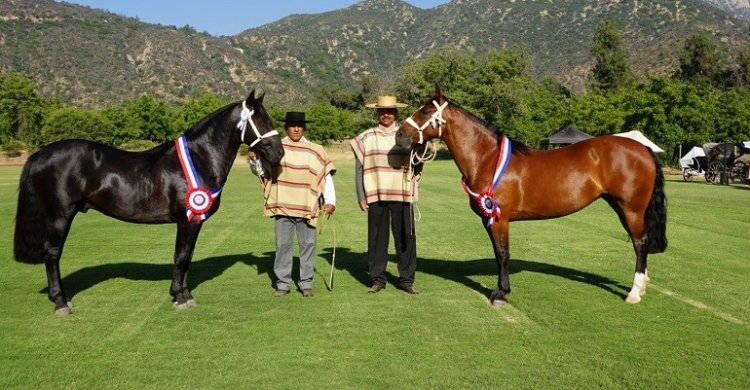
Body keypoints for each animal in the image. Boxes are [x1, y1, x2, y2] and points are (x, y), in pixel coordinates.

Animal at [14, 89, 284, 314]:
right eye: (259, 120)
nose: (279, 152)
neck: (199, 159)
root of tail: (40, 154)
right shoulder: (186, 221)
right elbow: (181, 256)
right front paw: (180, 298)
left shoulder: (194, 221)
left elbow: (188, 256)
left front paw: (185, 295)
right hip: (59, 217)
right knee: (52, 255)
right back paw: (61, 302)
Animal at [396, 87, 668, 304]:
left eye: (424, 111)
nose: (399, 135)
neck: (487, 158)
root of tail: (643, 148)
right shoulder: (489, 219)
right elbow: (498, 253)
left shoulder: (500, 219)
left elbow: (502, 254)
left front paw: (500, 293)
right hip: (621, 207)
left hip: (631, 208)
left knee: (640, 243)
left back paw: (634, 293)